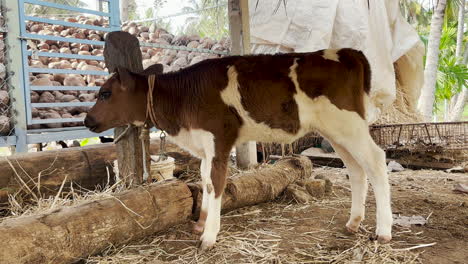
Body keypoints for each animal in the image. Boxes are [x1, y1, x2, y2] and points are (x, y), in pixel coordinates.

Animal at [84, 49, 392, 250]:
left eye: (105, 93)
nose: (87, 120)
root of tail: (348, 52)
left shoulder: (220, 139)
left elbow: (217, 183)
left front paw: (209, 236)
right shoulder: (206, 146)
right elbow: (206, 181)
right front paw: (202, 222)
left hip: (348, 124)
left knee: (376, 161)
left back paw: (383, 230)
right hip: (337, 131)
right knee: (356, 169)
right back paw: (353, 222)